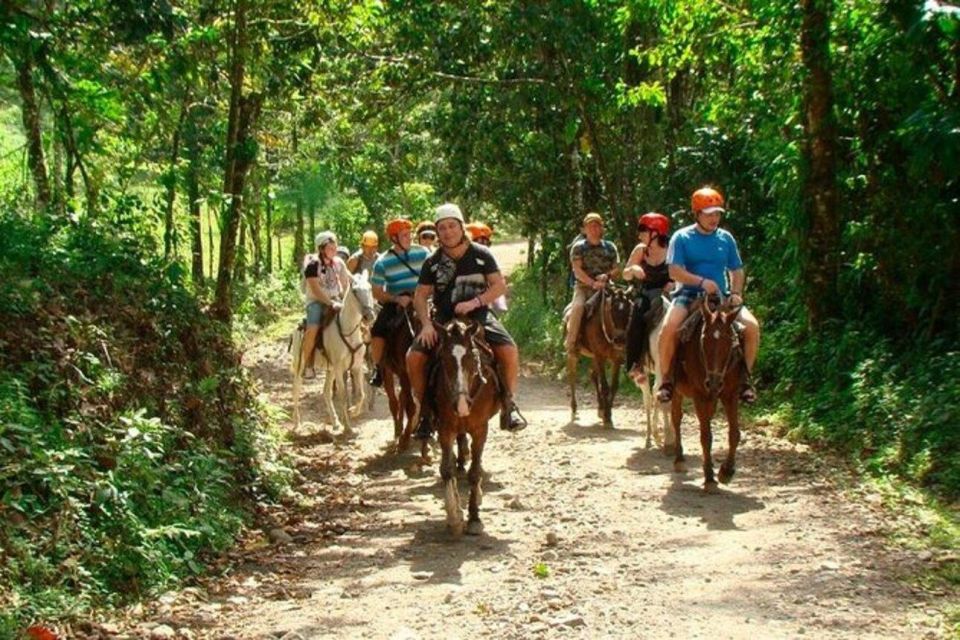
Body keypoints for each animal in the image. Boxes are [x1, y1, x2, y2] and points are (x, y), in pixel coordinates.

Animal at [290, 272, 376, 436]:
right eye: (355, 291)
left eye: (369, 288)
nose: (369, 316)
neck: (347, 329)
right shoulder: (339, 368)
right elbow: (343, 395)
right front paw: (348, 427)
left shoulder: (356, 366)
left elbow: (361, 394)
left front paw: (353, 412)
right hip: (300, 365)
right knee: (296, 389)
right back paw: (297, 424)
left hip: (329, 369)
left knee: (326, 392)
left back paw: (335, 422)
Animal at [432, 318, 498, 536]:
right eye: (444, 359)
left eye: (472, 357)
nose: (461, 405)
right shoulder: (445, 428)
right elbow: (447, 470)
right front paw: (454, 516)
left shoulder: (480, 429)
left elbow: (475, 473)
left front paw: (474, 517)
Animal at [568, 286, 632, 428]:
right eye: (612, 310)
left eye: (629, 311)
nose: (620, 340)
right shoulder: (600, 357)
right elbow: (605, 387)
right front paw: (607, 417)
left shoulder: (616, 358)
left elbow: (614, 385)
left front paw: (607, 413)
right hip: (575, 353)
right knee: (573, 376)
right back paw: (574, 408)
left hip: (593, 356)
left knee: (593, 375)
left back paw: (600, 408)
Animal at [672, 296, 748, 490]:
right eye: (703, 341)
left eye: (730, 343)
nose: (713, 382)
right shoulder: (699, 395)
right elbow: (706, 436)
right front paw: (709, 477)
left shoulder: (730, 394)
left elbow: (734, 433)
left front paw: (726, 471)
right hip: (676, 390)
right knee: (676, 418)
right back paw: (679, 459)